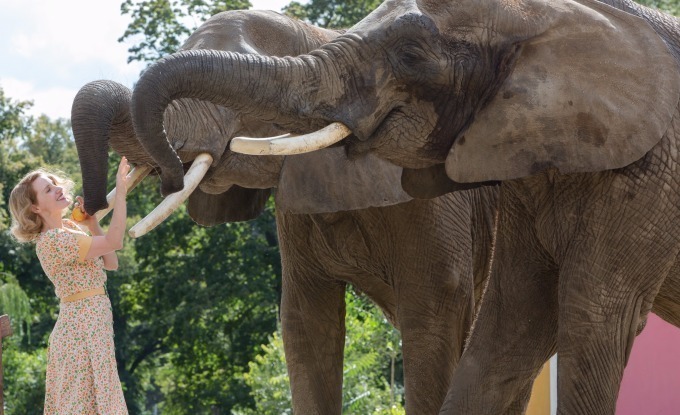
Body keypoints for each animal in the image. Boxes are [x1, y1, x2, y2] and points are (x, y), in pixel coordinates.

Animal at [126, 0, 680, 414]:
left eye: (411, 55)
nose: (166, 166)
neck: (550, 17)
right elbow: (307, 325)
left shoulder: (650, 172)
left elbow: (451, 317)